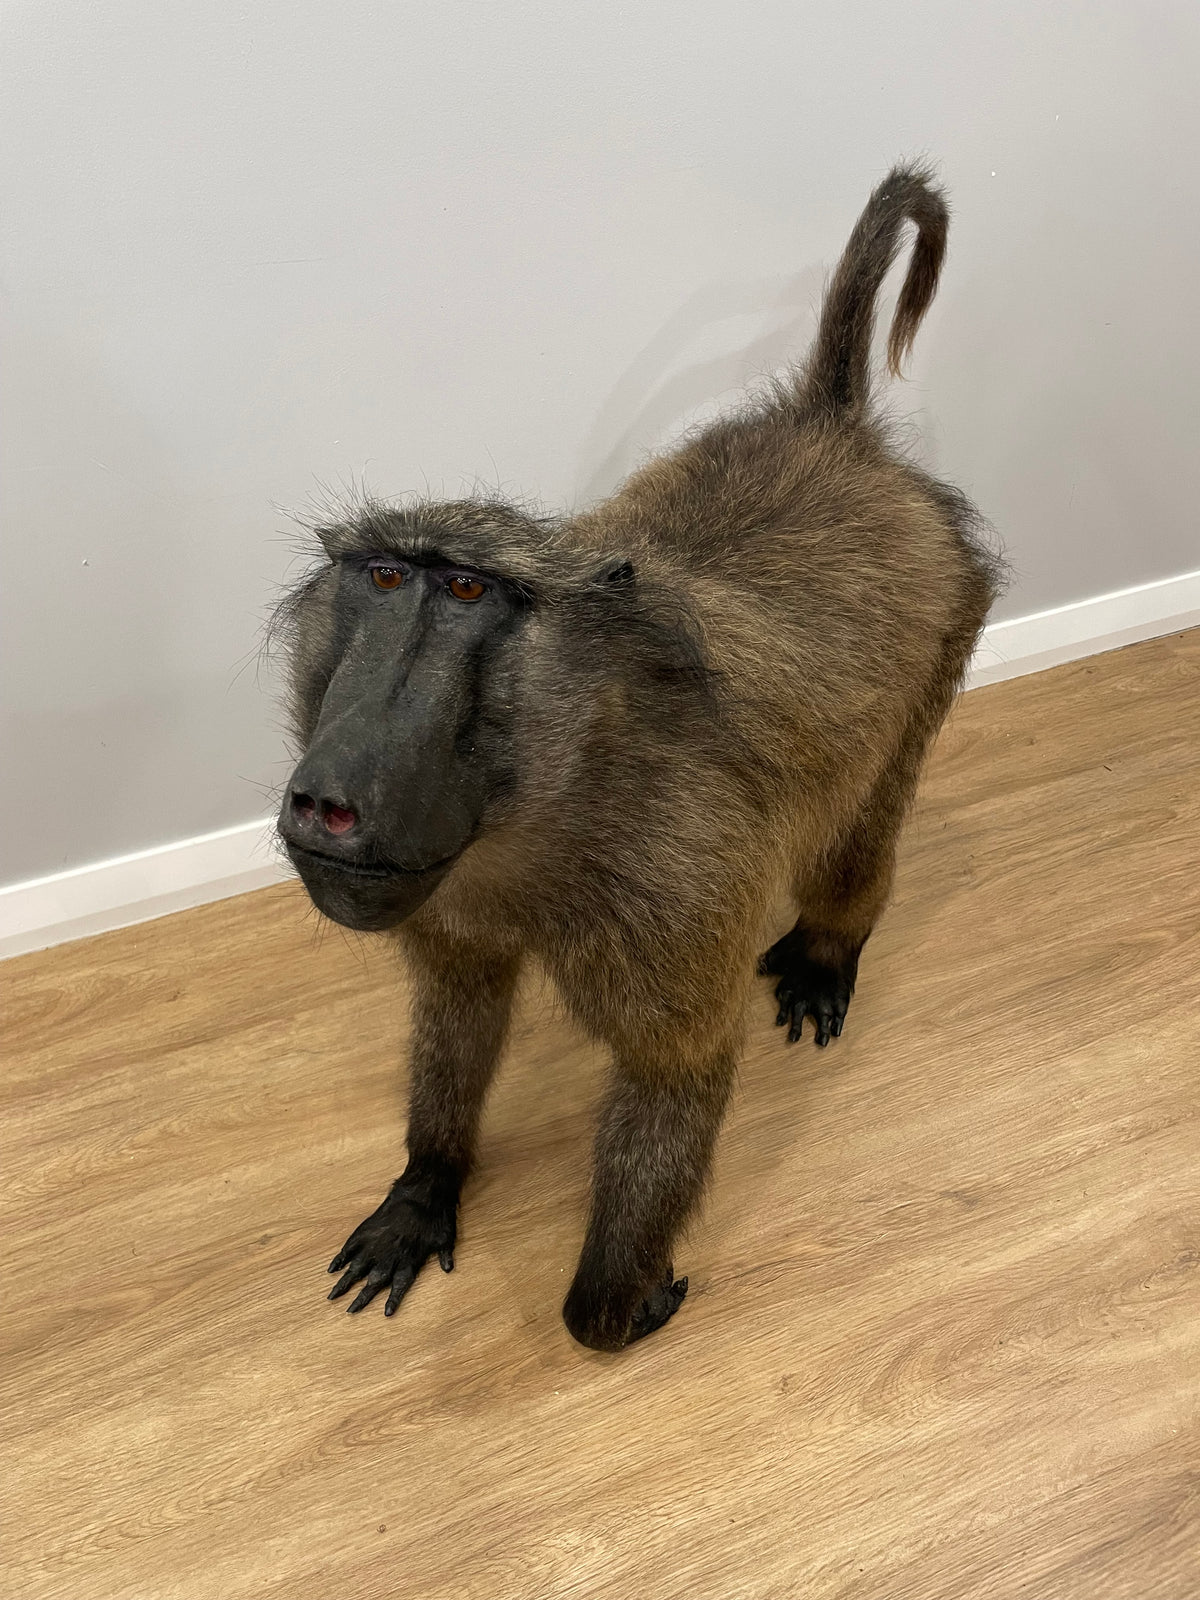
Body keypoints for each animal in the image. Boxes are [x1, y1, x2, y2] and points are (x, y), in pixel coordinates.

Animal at [274, 162, 1001, 1351]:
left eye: (466, 588)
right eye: (382, 577)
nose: (332, 800)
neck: (555, 794)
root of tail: (833, 439)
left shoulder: (675, 889)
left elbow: (677, 1073)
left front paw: (624, 1293)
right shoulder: (454, 888)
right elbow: (463, 1005)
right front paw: (426, 1187)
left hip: (950, 626)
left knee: (863, 819)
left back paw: (830, 943)